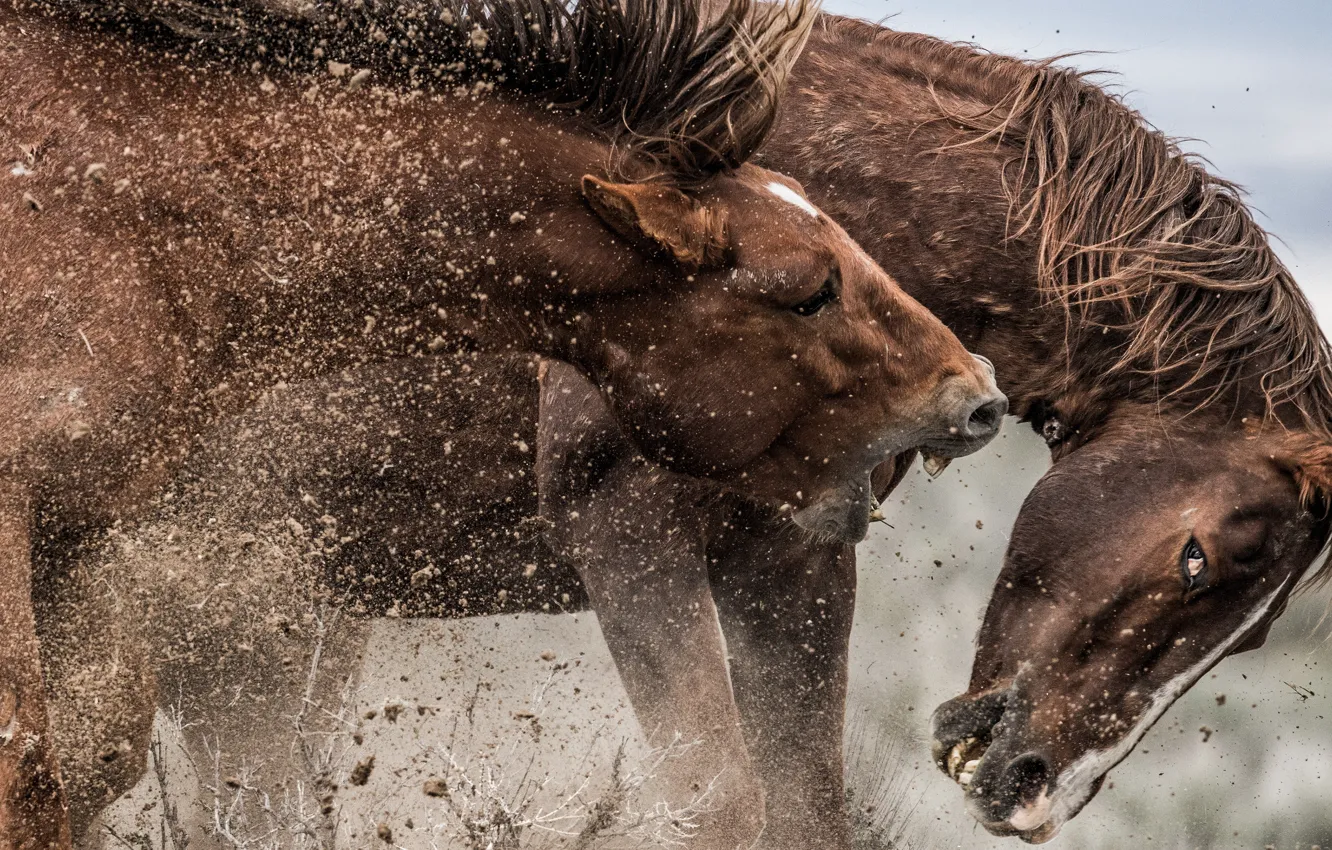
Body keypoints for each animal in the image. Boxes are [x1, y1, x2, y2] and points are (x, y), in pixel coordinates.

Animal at [44, 10, 1332, 850]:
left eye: (1256, 638)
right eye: (1199, 557)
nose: (1030, 787)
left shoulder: (792, 556)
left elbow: (802, 804)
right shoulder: (628, 534)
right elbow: (715, 797)